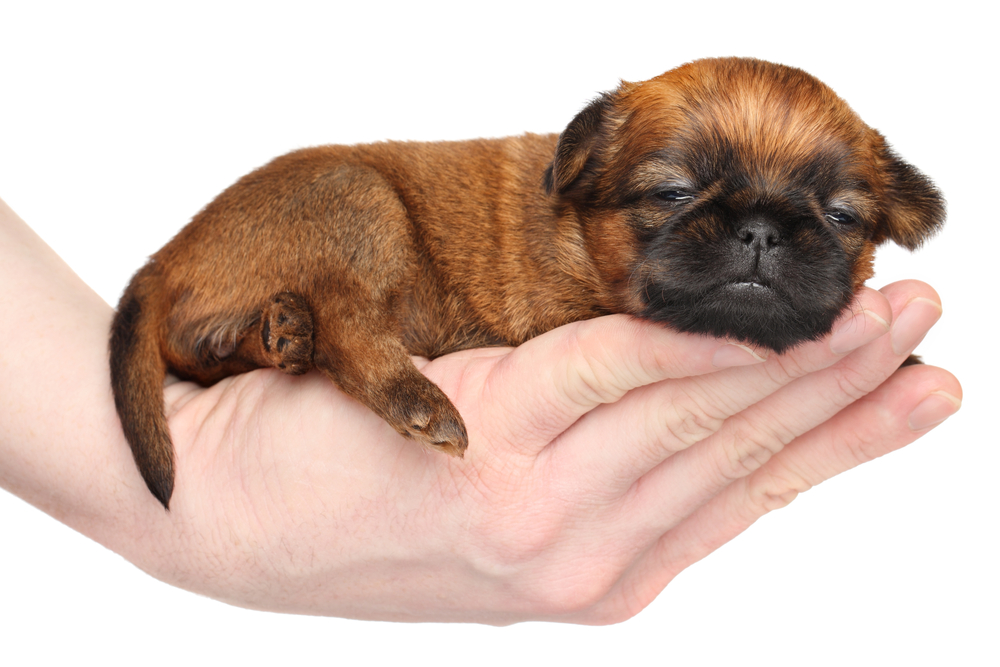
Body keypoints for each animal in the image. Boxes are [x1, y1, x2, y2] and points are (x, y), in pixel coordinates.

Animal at [109, 57, 944, 508]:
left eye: (841, 215)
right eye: (672, 192)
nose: (763, 228)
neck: (579, 232)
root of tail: (163, 259)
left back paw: (283, 334)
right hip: (357, 199)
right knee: (350, 327)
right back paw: (413, 397)